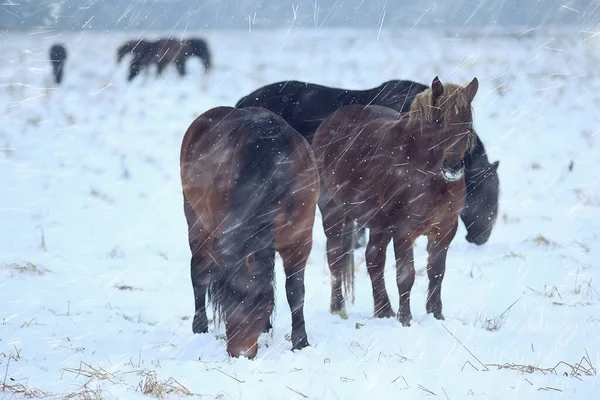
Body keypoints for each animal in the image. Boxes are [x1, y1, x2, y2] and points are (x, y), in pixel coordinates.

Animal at [179, 104, 318, 358]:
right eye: (226, 303)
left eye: (260, 303)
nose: (239, 354)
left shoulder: (299, 238)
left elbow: (295, 291)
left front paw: (300, 342)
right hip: (196, 220)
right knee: (199, 272)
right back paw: (200, 326)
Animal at [314, 76, 478, 326]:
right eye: (438, 121)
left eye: (467, 122)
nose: (452, 166)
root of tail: (328, 123)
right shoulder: (404, 230)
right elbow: (405, 275)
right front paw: (405, 320)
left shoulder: (445, 228)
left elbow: (436, 272)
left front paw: (436, 314)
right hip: (332, 211)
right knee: (335, 257)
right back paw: (338, 308)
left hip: (378, 224)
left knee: (373, 260)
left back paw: (383, 310)